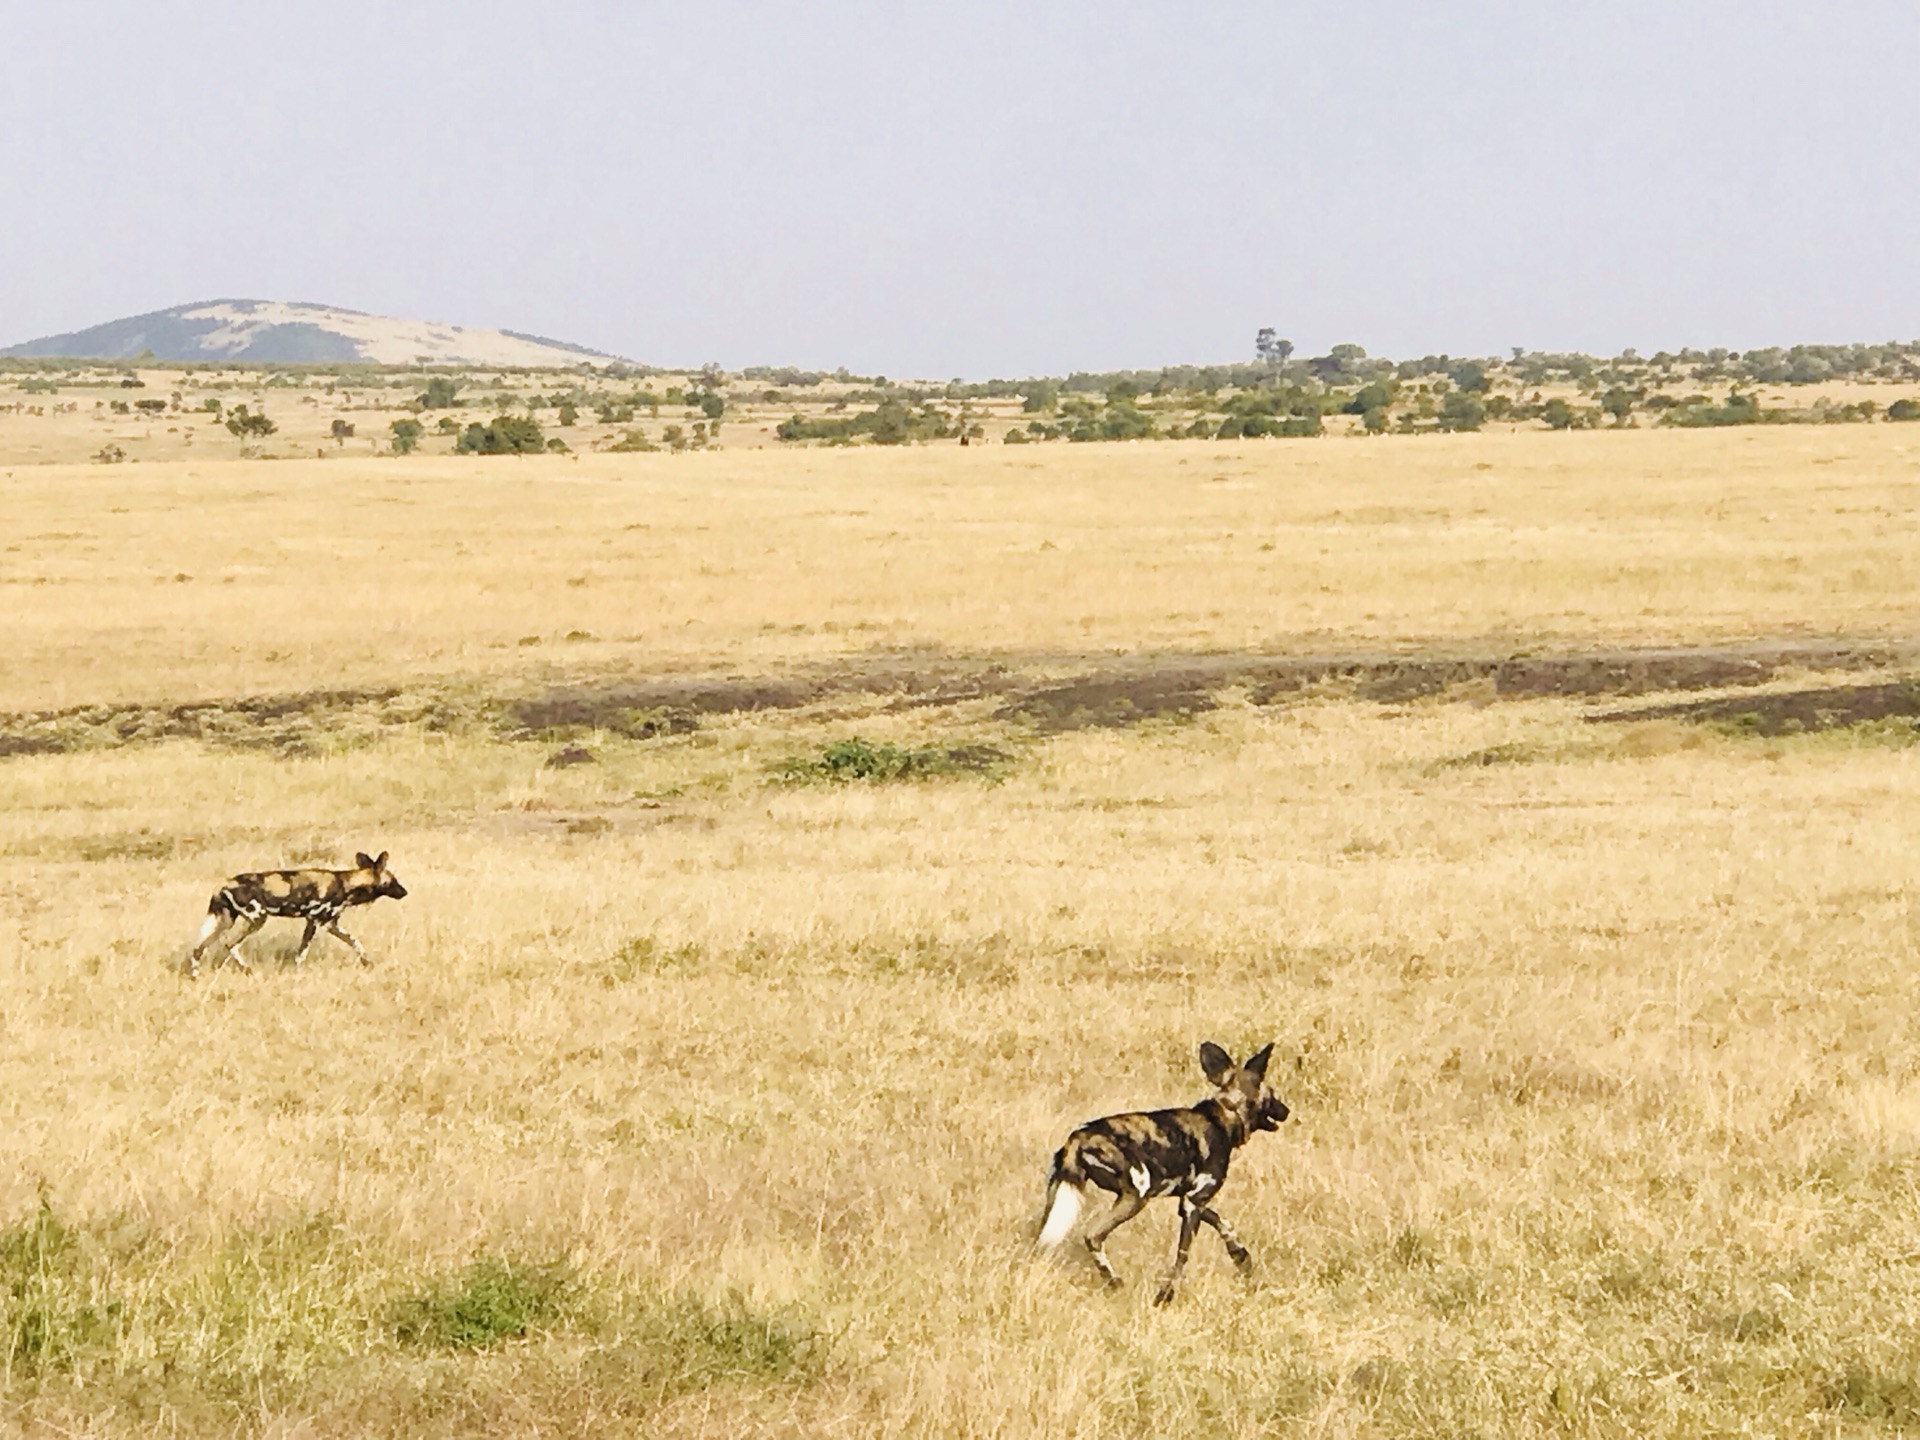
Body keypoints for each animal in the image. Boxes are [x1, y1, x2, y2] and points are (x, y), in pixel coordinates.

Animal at [185, 856, 407, 983]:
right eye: (394, 881)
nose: (405, 892)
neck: (346, 884)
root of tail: (223, 885)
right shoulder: (314, 921)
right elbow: (302, 953)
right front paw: (297, 974)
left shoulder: (331, 925)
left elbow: (356, 943)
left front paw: (368, 963)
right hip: (257, 919)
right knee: (229, 944)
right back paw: (248, 970)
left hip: (225, 921)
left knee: (199, 947)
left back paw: (195, 976)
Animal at [1036, 1052, 1290, 1305]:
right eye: (1273, 1096)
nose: (1286, 1110)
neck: (1224, 1116)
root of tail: (1076, 1139)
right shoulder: (1192, 1203)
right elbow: (1182, 1257)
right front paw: (1164, 1296)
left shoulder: (1190, 1201)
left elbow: (1220, 1221)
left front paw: (1240, 1256)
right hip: (1136, 1197)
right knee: (1092, 1236)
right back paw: (1115, 1282)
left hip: (1058, 1194)